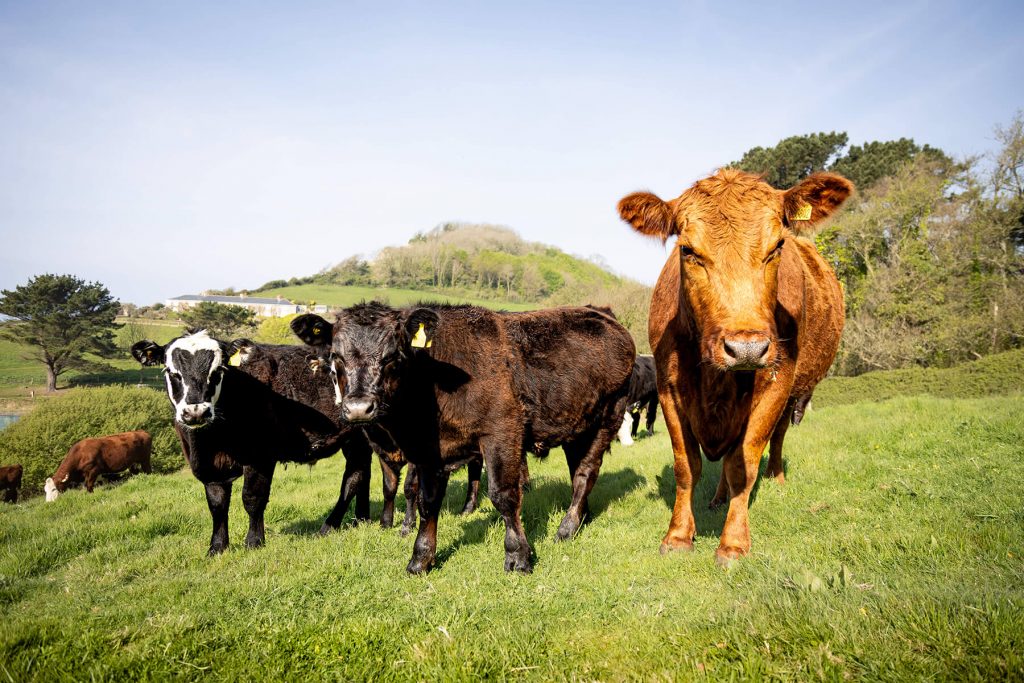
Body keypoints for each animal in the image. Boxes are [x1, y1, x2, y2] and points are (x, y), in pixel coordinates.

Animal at [131, 331, 373, 555]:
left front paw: (254, 542)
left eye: (218, 371)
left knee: (352, 478)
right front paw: (217, 547)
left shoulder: (260, 457)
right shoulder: (209, 468)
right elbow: (217, 504)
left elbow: (252, 498)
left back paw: (328, 526)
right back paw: (361, 520)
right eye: (172, 372)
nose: (196, 412)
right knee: (362, 473)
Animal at [292, 302, 635, 574]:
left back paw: (566, 529)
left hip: (608, 415)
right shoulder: (429, 451)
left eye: (394, 356)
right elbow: (427, 501)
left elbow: (503, 495)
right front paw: (421, 559)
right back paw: (581, 518)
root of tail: (601, 312)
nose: (358, 408)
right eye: (335, 357)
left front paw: (517, 556)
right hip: (577, 426)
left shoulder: (502, 431)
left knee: (585, 473)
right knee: (577, 470)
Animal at [619, 168, 851, 564]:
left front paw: (734, 542)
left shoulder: (776, 385)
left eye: (776, 247)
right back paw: (718, 498)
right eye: (688, 250)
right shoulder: (668, 389)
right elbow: (686, 466)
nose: (746, 349)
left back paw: (774, 478)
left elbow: (744, 465)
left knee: (774, 439)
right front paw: (678, 535)